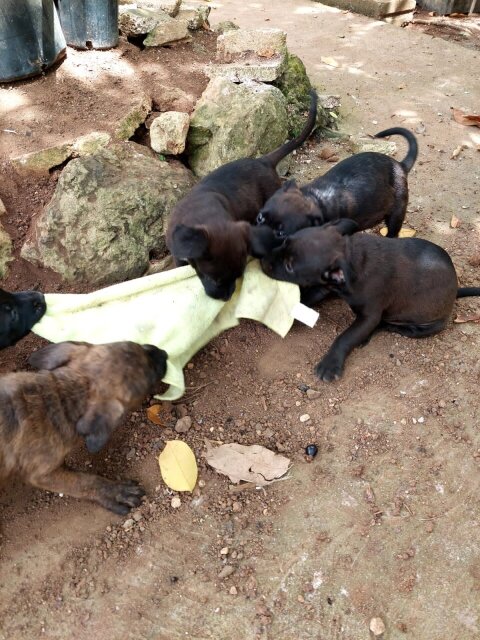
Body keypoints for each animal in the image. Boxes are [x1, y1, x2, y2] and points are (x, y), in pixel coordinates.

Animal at [0, 340, 168, 516]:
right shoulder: (43, 474)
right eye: (151, 377)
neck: (59, 395)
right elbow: (83, 481)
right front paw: (115, 491)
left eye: (139, 345)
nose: (164, 353)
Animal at [166, 89, 318, 304]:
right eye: (213, 279)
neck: (203, 212)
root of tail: (264, 161)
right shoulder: (178, 256)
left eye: (238, 277)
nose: (226, 298)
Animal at [256, 127, 418, 240]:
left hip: (396, 213)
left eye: (281, 233)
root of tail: (400, 165)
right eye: (259, 217)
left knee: (393, 232)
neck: (314, 199)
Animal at [260, 222, 480, 382]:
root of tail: (455, 291)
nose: (261, 258)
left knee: (389, 326)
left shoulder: (369, 315)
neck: (351, 256)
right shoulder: (326, 286)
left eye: (289, 266)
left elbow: (345, 337)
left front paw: (331, 363)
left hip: (424, 326)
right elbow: (310, 298)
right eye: (284, 242)